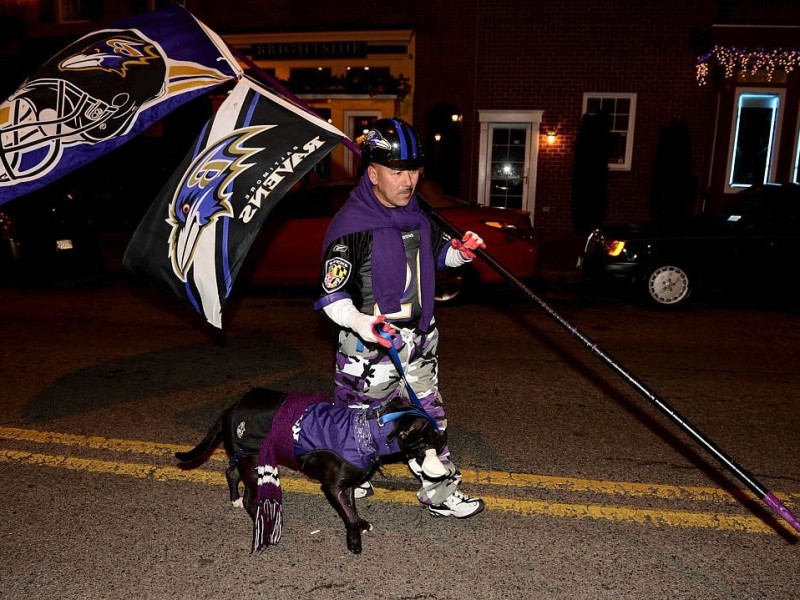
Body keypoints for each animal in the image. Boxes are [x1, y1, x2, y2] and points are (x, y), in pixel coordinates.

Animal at [176, 390, 446, 552]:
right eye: (428, 441)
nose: (443, 441)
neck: (368, 431)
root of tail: (232, 408)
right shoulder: (332, 487)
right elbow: (348, 515)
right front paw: (354, 540)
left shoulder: (348, 484)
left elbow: (352, 509)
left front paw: (360, 524)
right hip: (253, 466)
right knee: (250, 500)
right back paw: (260, 524)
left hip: (243, 458)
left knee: (231, 473)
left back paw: (233, 499)